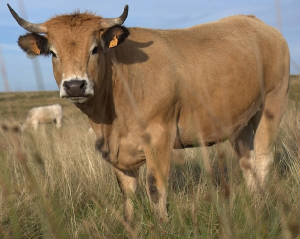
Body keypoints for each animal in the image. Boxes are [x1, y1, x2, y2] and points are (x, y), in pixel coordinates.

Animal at [8, 4, 290, 222]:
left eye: (95, 48)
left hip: (273, 101)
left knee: (263, 158)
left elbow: (155, 187)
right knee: (247, 161)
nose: (75, 85)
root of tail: (256, 23)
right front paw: (131, 224)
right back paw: (254, 202)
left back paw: (260, 207)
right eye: (53, 53)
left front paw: (162, 225)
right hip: (239, 121)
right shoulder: (116, 149)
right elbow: (127, 192)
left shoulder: (159, 136)